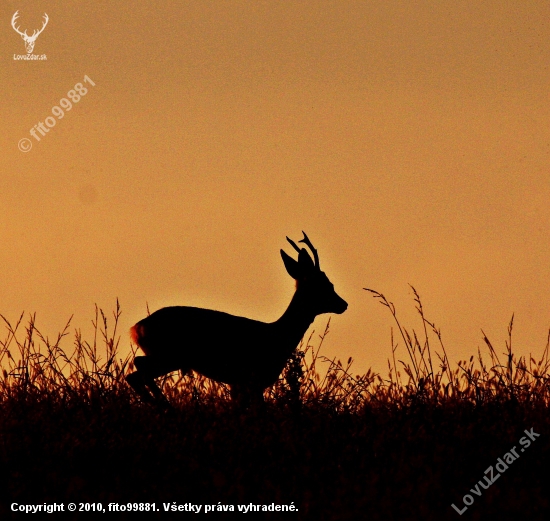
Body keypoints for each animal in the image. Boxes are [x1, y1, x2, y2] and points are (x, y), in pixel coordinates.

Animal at [127, 233, 348, 406]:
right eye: (325, 285)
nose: (343, 304)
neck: (277, 337)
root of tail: (136, 328)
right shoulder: (253, 378)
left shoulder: (238, 384)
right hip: (169, 354)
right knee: (138, 368)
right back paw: (164, 405)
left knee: (135, 372)